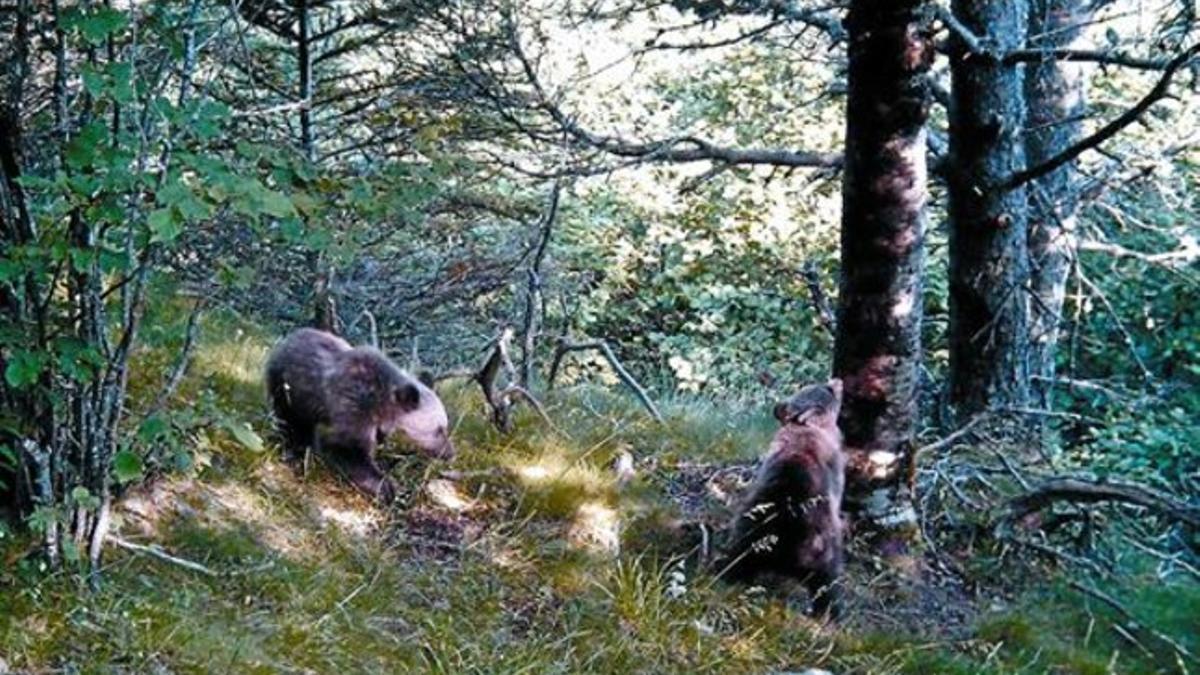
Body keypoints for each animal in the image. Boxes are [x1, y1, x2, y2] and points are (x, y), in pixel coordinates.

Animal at [266, 326, 453, 499]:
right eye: (438, 429)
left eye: (444, 426)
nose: (451, 453)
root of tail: (288, 338)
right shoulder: (353, 408)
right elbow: (345, 449)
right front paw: (386, 488)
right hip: (287, 390)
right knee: (290, 421)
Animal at [715, 374, 849, 619]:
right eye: (826, 388)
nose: (837, 379)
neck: (807, 427)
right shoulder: (834, 467)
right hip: (822, 543)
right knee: (828, 580)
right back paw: (831, 611)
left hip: (750, 530)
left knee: (739, 559)